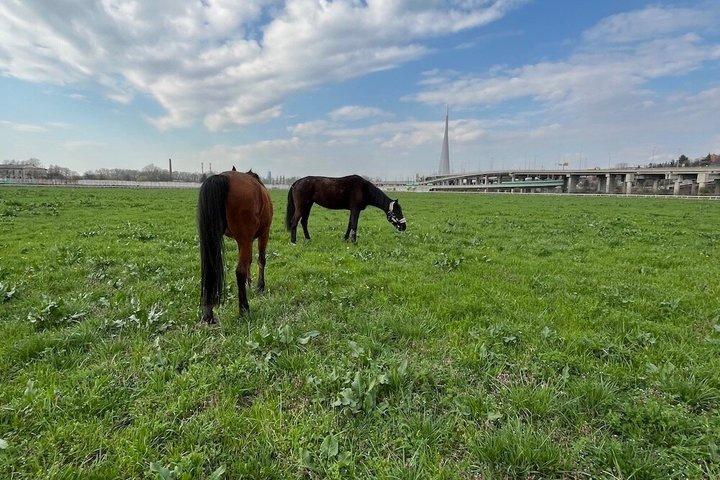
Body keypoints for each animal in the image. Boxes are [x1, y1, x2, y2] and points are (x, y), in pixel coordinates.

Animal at [197, 168, 273, 322]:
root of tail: (223, 177)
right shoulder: (263, 234)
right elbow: (261, 260)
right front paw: (260, 286)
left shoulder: (244, 241)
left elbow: (250, 261)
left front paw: (249, 283)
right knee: (240, 271)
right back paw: (244, 309)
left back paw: (208, 312)